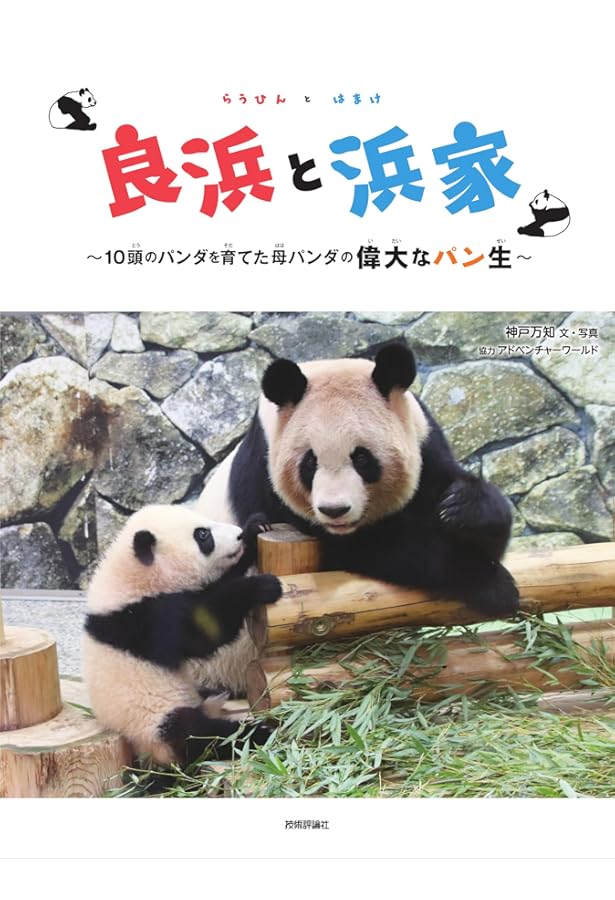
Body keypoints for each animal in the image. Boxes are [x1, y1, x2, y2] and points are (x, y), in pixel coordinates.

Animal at [82, 504, 281, 767]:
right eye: (203, 535)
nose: (237, 535)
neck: (131, 576)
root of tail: (146, 755)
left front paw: (255, 528)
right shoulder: (144, 621)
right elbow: (204, 632)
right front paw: (260, 586)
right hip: (156, 721)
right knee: (197, 734)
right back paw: (255, 734)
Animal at [195, 343, 519, 696]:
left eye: (362, 458)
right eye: (310, 462)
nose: (334, 510)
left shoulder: (423, 442)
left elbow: (452, 491)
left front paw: (465, 509)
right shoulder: (268, 477)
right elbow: (371, 548)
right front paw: (492, 583)